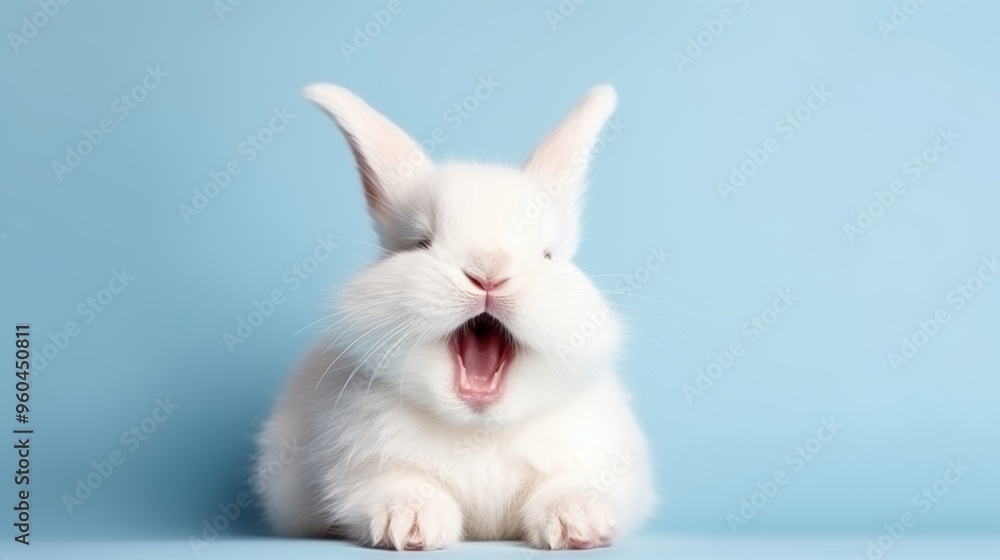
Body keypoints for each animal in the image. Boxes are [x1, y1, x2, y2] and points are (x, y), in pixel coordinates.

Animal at [253, 82, 654, 550]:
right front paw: (409, 526)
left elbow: (571, 485)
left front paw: (579, 524)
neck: (478, 429)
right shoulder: (359, 472)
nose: (488, 272)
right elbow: (398, 485)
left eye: (547, 255)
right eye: (421, 242)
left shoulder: (601, 465)